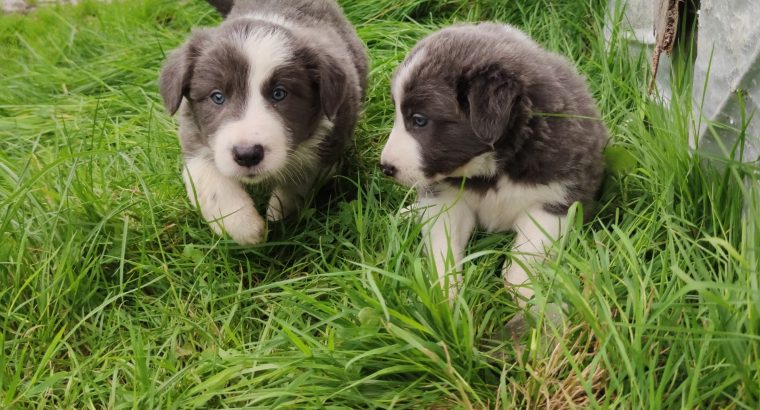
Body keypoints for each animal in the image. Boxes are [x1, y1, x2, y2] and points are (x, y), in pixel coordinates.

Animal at [162, 0, 370, 243]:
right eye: (217, 96)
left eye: (279, 94)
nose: (247, 155)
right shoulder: (191, 133)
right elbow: (206, 177)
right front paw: (243, 226)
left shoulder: (333, 138)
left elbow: (303, 177)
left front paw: (278, 213)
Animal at [382, 23, 608, 304]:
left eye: (419, 120)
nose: (385, 167)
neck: (493, 169)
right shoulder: (447, 200)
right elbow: (443, 247)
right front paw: (446, 294)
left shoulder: (555, 201)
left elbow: (528, 254)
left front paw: (527, 297)